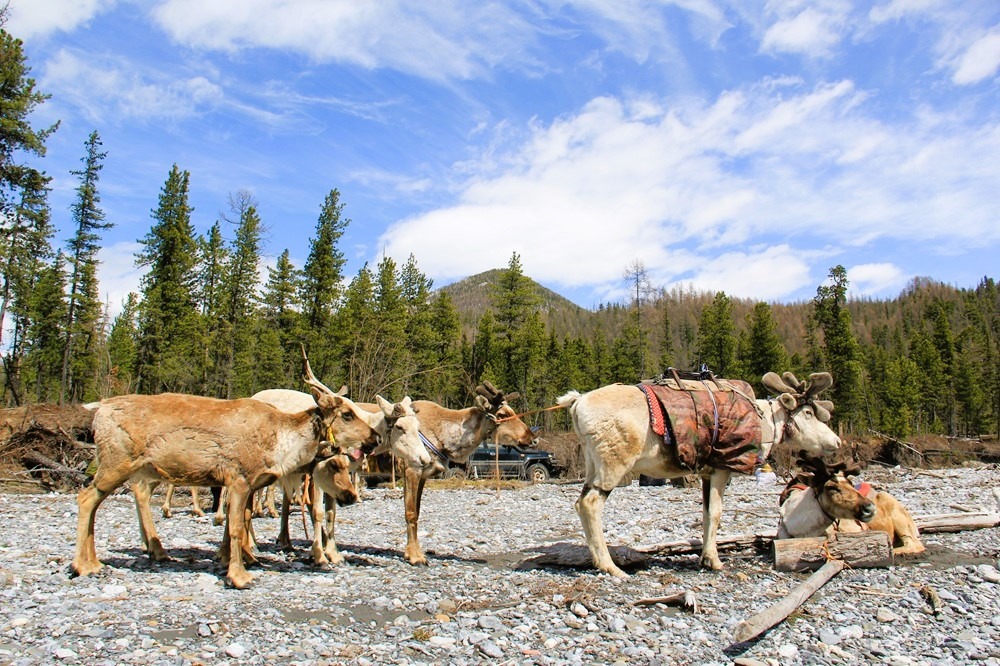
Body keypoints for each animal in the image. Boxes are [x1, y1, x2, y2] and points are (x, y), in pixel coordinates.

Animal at [72, 359, 379, 589]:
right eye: (347, 414)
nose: (374, 437)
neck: (281, 445)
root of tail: (99, 407)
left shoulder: (249, 482)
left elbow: (238, 522)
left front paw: (235, 560)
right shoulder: (239, 478)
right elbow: (236, 527)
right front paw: (240, 575)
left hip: (137, 469)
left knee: (110, 498)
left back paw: (117, 557)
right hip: (117, 463)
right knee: (86, 498)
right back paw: (85, 565)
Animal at [557, 371, 842, 577]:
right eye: (808, 413)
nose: (837, 441)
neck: (766, 423)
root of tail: (577, 403)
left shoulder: (706, 472)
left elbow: (705, 513)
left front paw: (705, 556)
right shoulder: (722, 468)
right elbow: (716, 513)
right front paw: (713, 560)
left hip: (592, 462)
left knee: (580, 501)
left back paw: (598, 560)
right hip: (614, 462)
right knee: (591, 503)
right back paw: (610, 566)